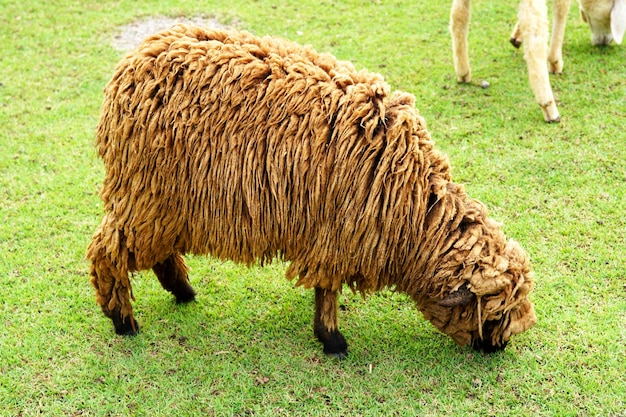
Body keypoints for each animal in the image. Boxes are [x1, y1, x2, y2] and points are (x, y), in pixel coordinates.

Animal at [86, 25, 536, 358]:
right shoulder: (338, 235)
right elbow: (328, 290)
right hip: (146, 195)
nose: (498, 349)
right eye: (497, 312)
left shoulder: (333, 234)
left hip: (160, 205)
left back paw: (183, 292)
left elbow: (323, 288)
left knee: (155, 254)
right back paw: (123, 322)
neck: (414, 211)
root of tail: (128, 69)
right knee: (107, 252)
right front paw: (333, 342)